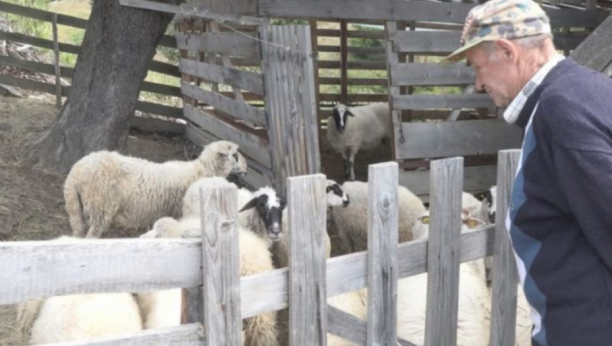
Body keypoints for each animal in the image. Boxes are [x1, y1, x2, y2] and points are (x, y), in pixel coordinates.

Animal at [65, 139, 249, 239]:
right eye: (235, 155)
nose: (247, 170)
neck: (201, 171)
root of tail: (75, 174)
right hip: (100, 207)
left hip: (76, 209)